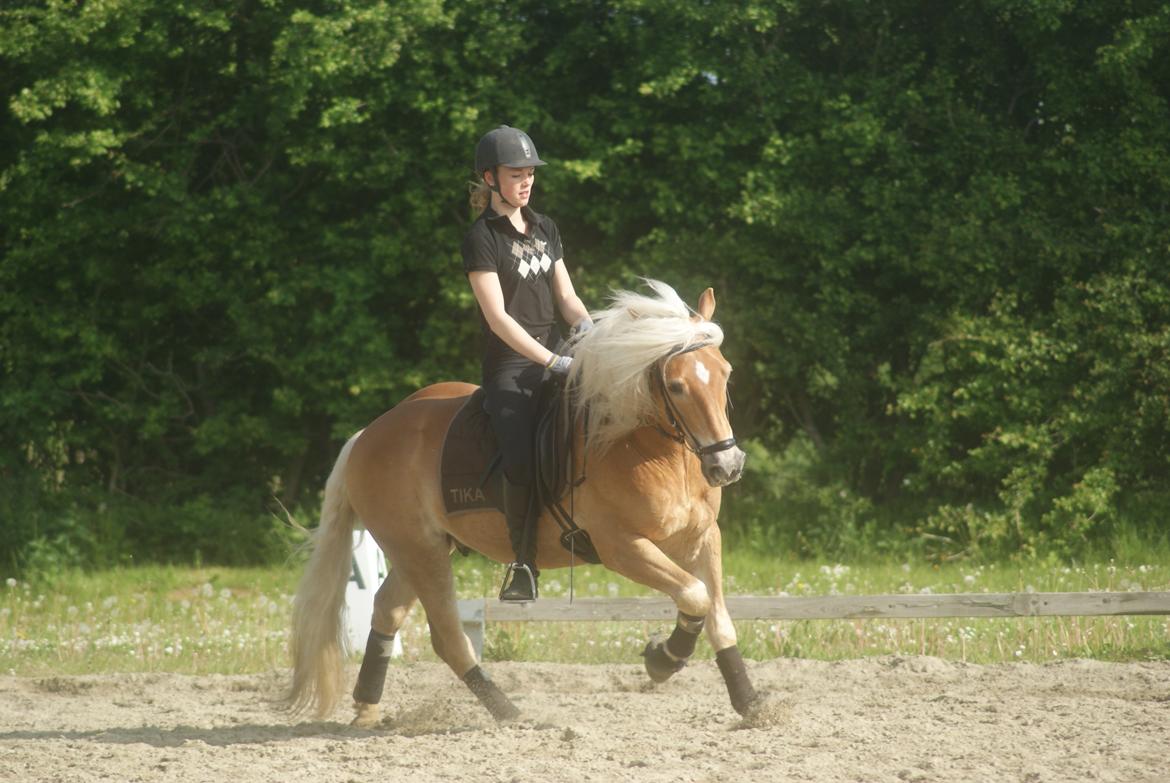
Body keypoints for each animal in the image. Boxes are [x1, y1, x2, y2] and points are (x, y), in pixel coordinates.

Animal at [285, 277, 758, 725]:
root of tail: (369, 433)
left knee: (387, 610)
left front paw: (749, 701)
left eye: (725, 373)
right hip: (419, 552)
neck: (649, 449)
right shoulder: (622, 547)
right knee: (448, 636)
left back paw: (367, 707)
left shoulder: (703, 538)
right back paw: (507, 712)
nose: (728, 464)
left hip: (420, 549)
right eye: (676, 386)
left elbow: (716, 613)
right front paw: (664, 659)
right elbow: (695, 595)